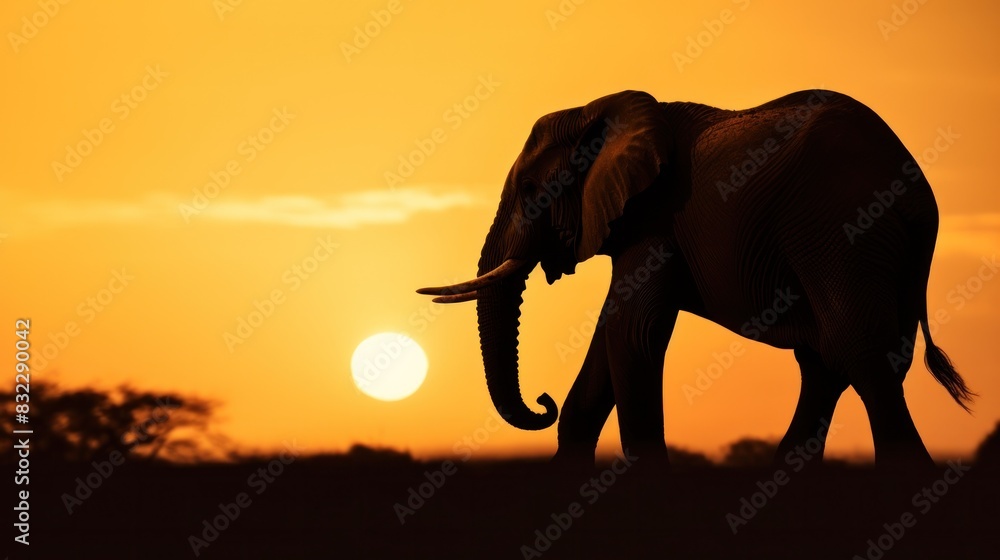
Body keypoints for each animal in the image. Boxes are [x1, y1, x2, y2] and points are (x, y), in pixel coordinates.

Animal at [417, 89, 974, 469]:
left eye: (533, 190)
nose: (541, 402)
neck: (602, 110)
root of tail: (915, 189)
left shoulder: (656, 220)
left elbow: (632, 333)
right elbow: (608, 339)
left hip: (839, 229)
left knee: (860, 356)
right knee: (833, 363)